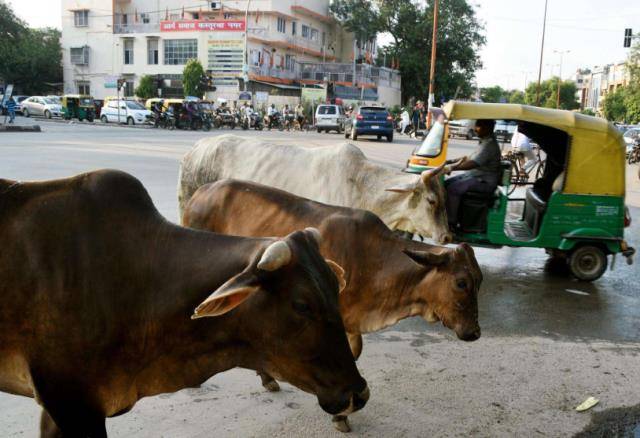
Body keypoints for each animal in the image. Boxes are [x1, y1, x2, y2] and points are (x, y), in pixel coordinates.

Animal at [182, 180, 482, 432]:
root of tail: (202, 191)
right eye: (461, 283)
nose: (474, 332)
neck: (375, 262)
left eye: (479, 280)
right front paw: (340, 415)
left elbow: (353, 354)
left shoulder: (349, 323)